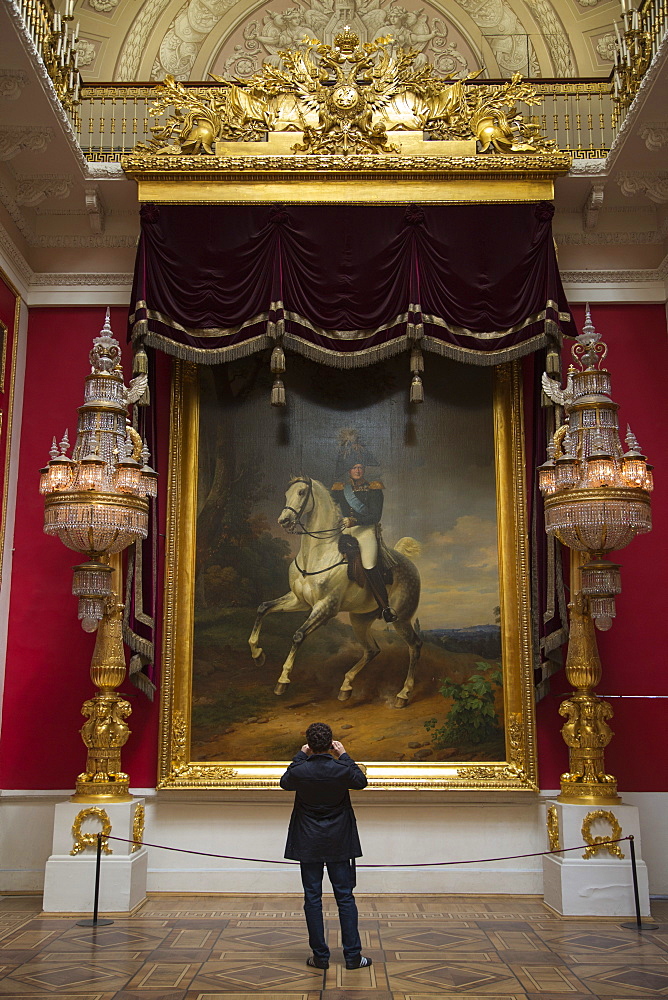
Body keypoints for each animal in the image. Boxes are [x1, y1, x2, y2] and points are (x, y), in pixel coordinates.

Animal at [248, 474, 420, 704]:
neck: (318, 554)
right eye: (286, 493)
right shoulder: (298, 600)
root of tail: (409, 564)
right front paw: (257, 654)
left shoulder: (326, 608)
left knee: (414, 647)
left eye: (301, 492)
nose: (283, 521)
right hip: (360, 620)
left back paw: (403, 693)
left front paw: (283, 680)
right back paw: (346, 685)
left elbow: (298, 635)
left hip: (401, 619)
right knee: (372, 650)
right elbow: (263, 608)